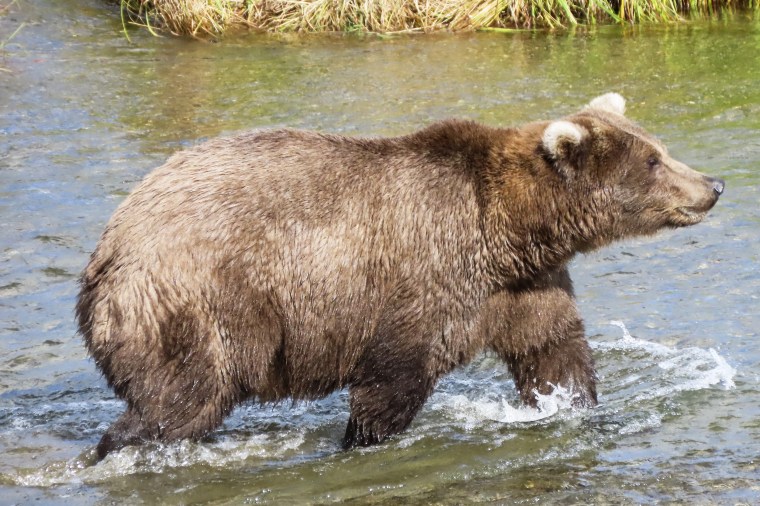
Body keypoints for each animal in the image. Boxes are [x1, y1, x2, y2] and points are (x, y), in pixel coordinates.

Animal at [76, 93, 724, 461]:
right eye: (653, 161)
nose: (713, 185)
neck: (509, 231)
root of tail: (107, 247)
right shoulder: (425, 275)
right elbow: (393, 378)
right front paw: (360, 441)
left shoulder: (524, 286)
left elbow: (553, 351)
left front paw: (575, 406)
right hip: (196, 302)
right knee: (180, 399)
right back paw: (121, 447)